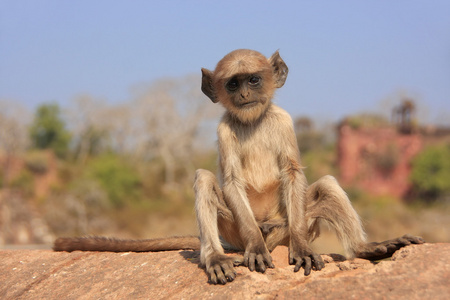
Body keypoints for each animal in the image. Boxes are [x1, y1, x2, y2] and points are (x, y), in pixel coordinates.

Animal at [54, 49, 424, 286]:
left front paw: (304, 250)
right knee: (205, 179)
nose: (245, 93)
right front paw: (255, 250)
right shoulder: (223, 129)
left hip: (289, 224)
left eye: (254, 80)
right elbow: (230, 180)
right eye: (233, 84)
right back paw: (218, 257)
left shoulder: (285, 121)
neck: (253, 121)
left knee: (328, 185)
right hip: (231, 230)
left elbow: (293, 174)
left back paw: (365, 248)